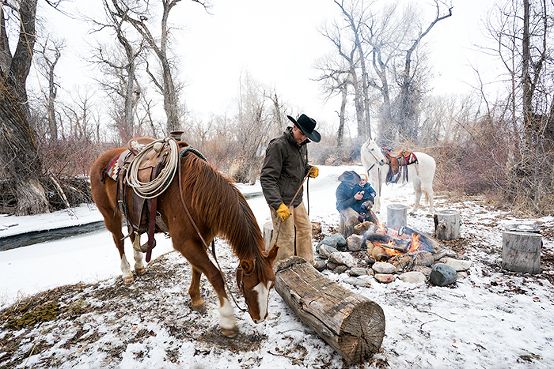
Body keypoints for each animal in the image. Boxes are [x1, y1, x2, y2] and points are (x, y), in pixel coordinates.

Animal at [93, 144, 280, 336]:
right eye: (245, 285)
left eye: (272, 285)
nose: (260, 319)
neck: (195, 194)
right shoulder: (184, 243)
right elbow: (214, 275)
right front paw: (227, 320)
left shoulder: (201, 239)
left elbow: (197, 270)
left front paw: (196, 300)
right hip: (110, 215)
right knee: (118, 240)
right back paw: (127, 273)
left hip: (132, 215)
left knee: (133, 234)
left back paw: (138, 265)